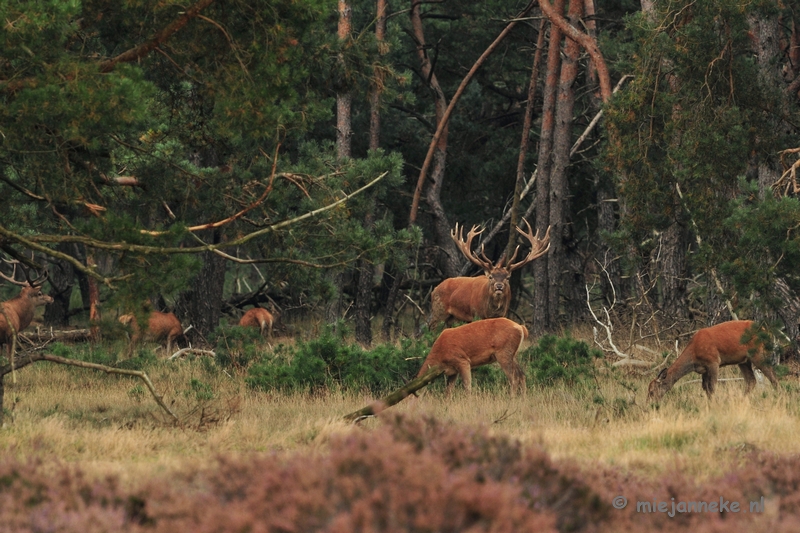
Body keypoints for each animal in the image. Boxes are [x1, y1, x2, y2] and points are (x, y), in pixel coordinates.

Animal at [648, 318, 780, 402]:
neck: (693, 355)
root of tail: (766, 331)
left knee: (773, 377)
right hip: (743, 360)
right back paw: (742, 399)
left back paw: (778, 396)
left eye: (651, 391)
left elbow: (712, 387)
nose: (651, 404)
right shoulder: (703, 369)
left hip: (758, 354)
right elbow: (705, 388)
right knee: (751, 380)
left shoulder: (713, 362)